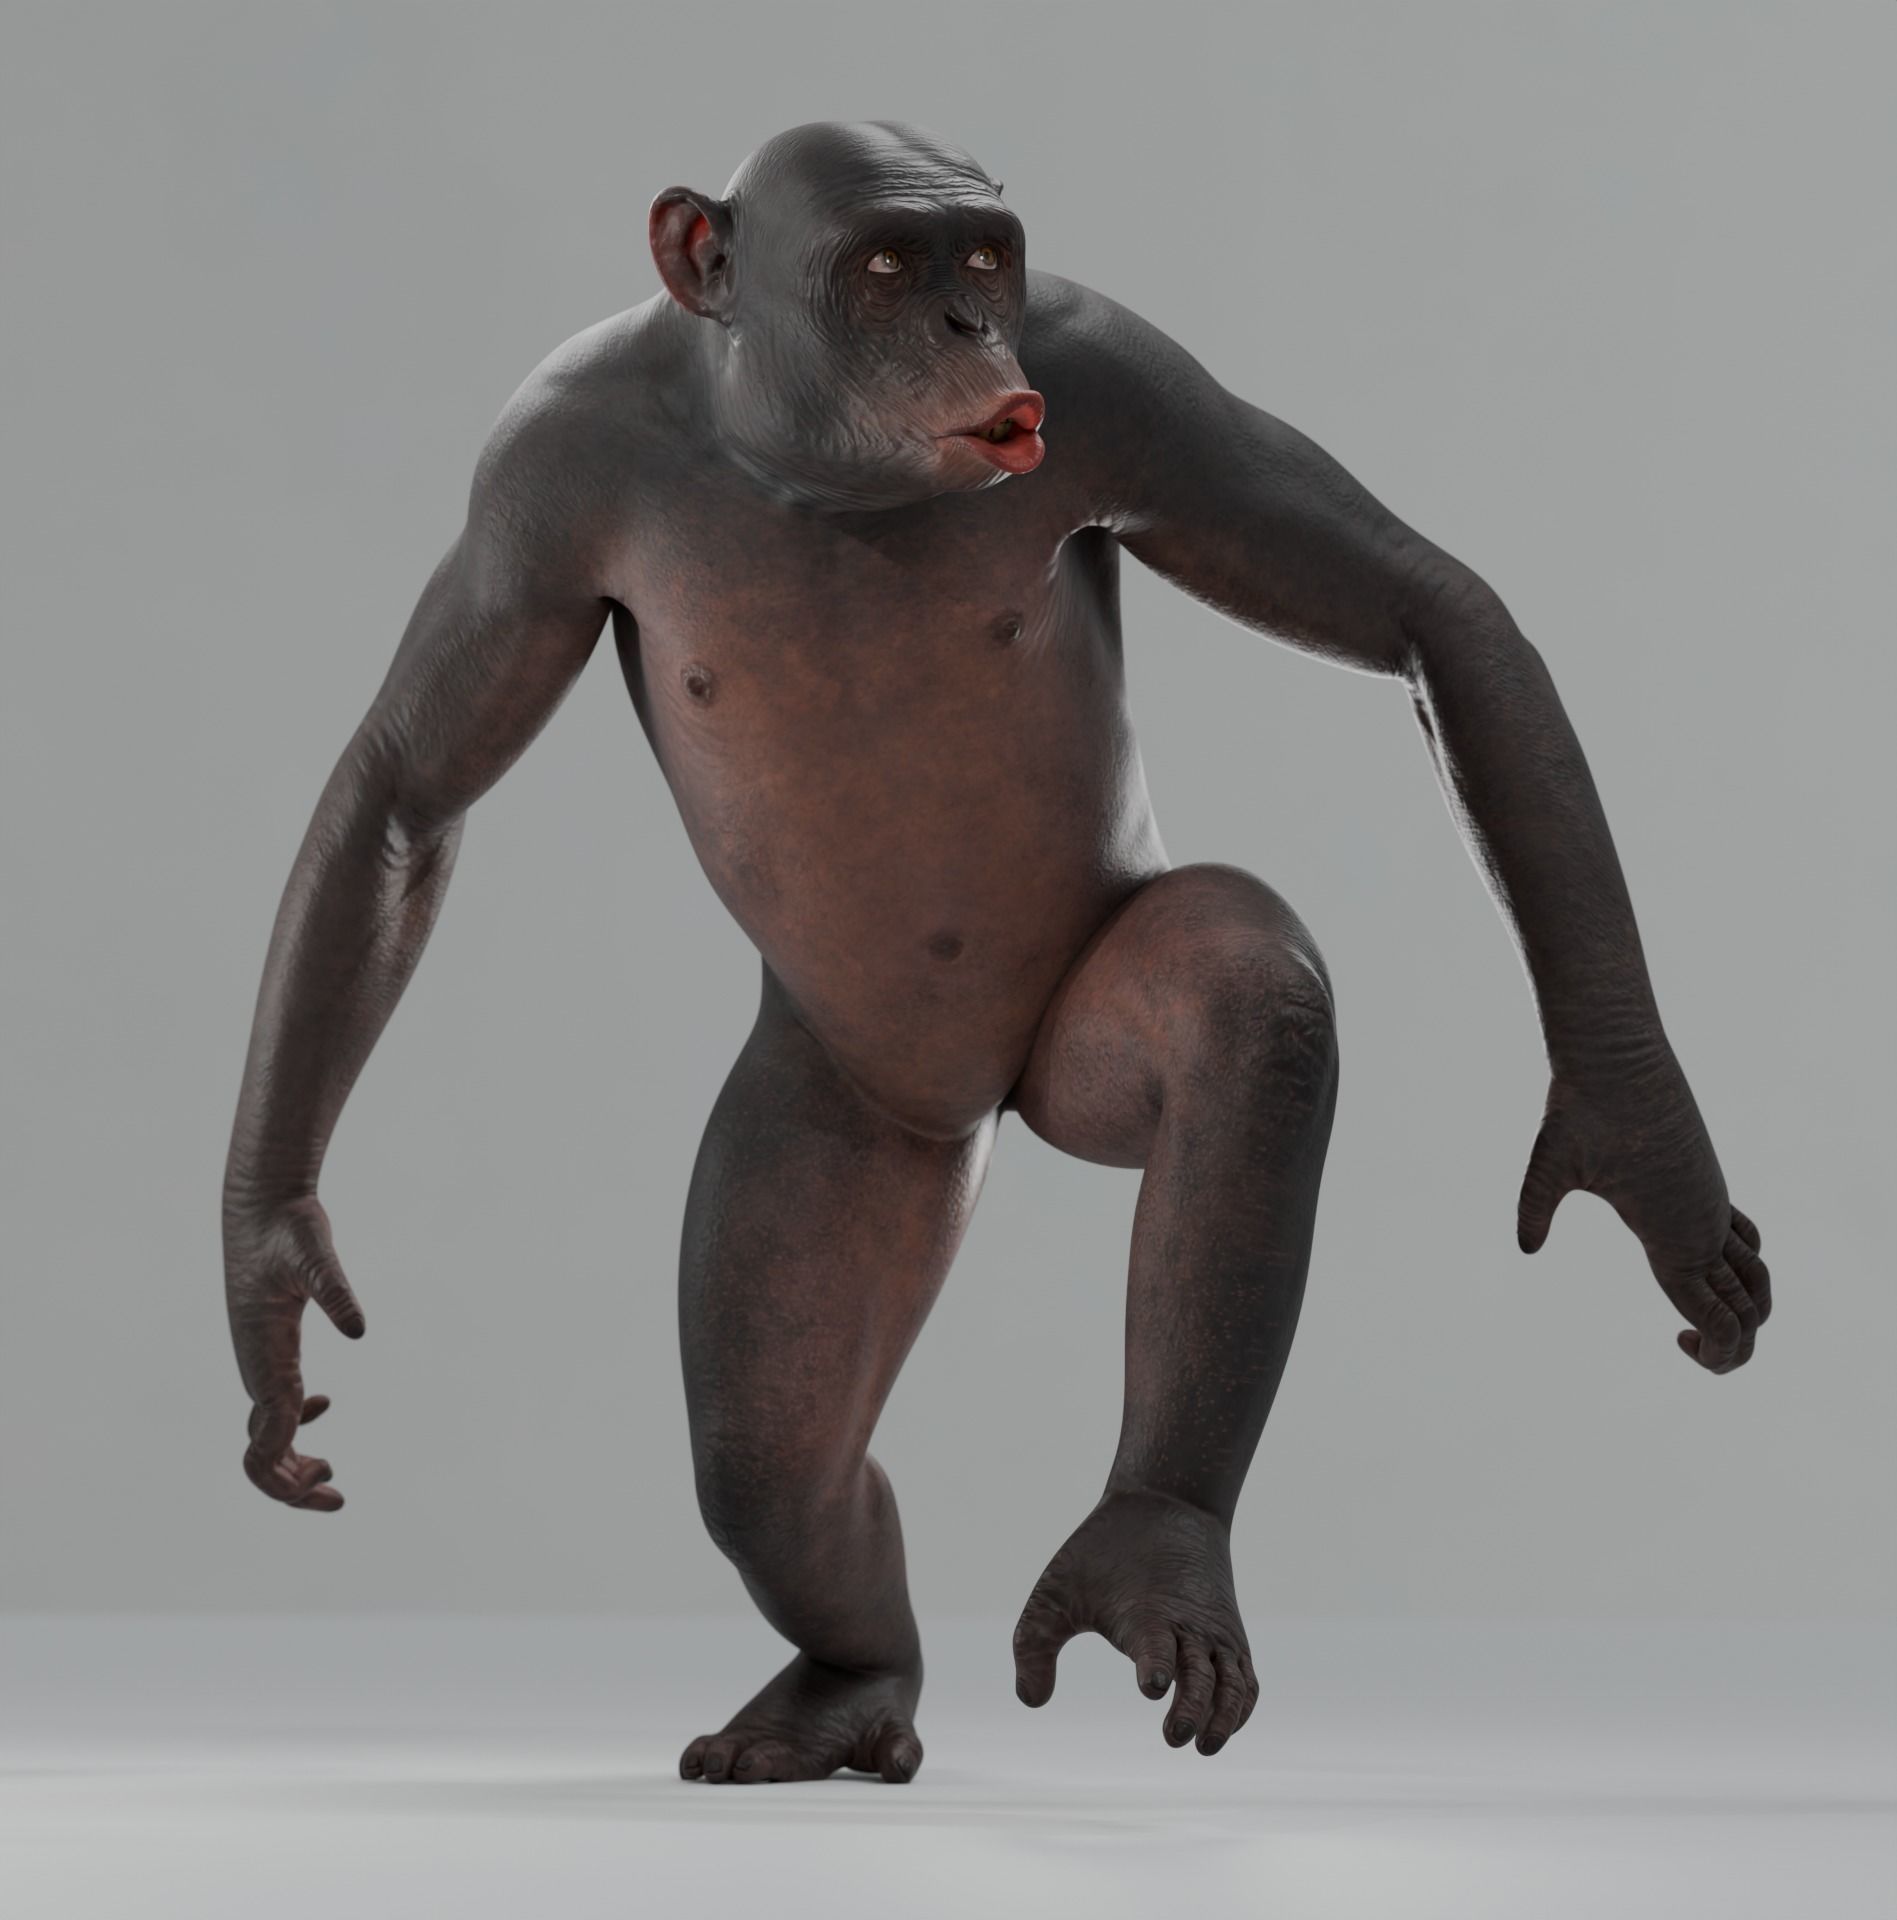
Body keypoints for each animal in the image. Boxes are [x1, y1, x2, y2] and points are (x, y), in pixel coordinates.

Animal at [222, 120, 1772, 1786]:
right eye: (888, 264)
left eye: (983, 257)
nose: (971, 326)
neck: (805, 457)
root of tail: (987, 1101)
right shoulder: (540, 471)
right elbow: (407, 789)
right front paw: (271, 1264)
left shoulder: (1127, 384)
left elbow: (1432, 613)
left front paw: (1643, 1144)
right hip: (845, 1115)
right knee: (776, 1460)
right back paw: (849, 1686)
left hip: (1073, 1052)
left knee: (1237, 999)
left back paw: (1151, 1544)